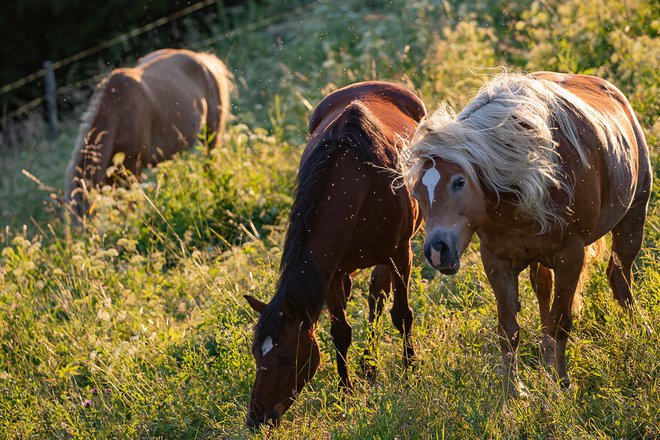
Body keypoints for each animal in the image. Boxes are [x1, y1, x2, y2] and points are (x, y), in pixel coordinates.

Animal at [64, 48, 229, 217]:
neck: (118, 111)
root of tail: (203, 59)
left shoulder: (133, 170)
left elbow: (132, 205)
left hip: (212, 134)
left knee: (211, 162)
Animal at [245, 81, 426, 428]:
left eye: (285, 357)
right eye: (255, 353)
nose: (256, 418)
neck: (360, 187)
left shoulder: (401, 253)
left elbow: (402, 315)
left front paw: (411, 373)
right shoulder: (330, 272)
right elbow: (340, 333)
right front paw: (346, 395)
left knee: (379, 297)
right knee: (373, 296)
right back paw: (369, 366)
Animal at [404, 71, 652, 396]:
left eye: (459, 182)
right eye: (417, 193)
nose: (437, 251)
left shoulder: (571, 257)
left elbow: (561, 321)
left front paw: (562, 384)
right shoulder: (496, 262)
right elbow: (508, 329)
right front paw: (514, 392)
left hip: (633, 218)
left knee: (619, 277)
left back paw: (637, 332)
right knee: (544, 292)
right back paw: (547, 360)